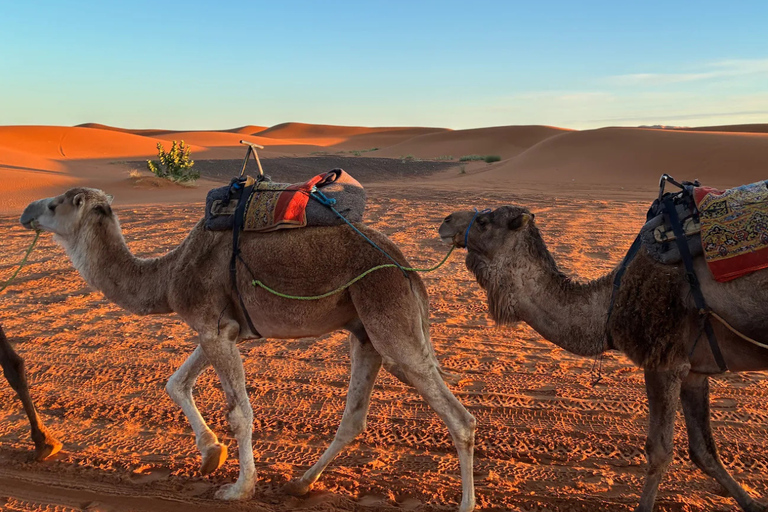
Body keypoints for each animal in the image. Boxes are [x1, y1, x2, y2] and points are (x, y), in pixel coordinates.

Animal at [19, 187, 476, 511]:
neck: (166, 276)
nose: (26, 211)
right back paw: (299, 483)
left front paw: (238, 488)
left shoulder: (213, 327)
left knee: (460, 418)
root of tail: (408, 269)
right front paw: (210, 454)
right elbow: (175, 383)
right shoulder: (222, 330)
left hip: (388, 318)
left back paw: (465, 504)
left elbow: (239, 413)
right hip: (365, 333)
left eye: (56, 204)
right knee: (354, 418)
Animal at [439, 206, 768, 512]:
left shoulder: (664, 362)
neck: (609, 304)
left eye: (484, 221)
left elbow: (659, 451)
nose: (446, 221)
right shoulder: (694, 371)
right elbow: (703, 450)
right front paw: (753, 504)